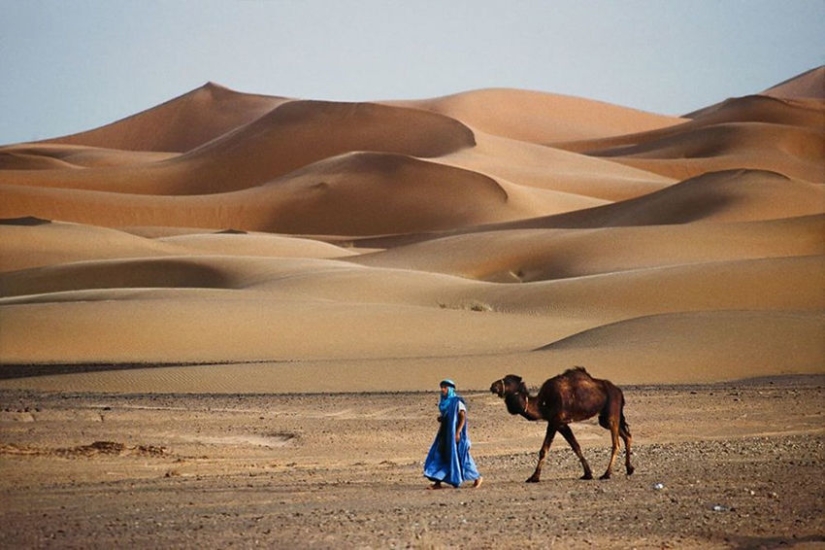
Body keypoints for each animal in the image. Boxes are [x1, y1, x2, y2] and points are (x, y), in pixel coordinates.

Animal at [490, 370, 636, 484]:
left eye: (507, 380)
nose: (492, 386)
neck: (542, 403)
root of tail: (619, 391)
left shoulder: (554, 421)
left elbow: (544, 450)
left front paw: (534, 477)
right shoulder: (562, 424)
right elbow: (576, 446)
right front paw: (587, 474)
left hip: (611, 414)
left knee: (616, 443)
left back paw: (607, 474)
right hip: (605, 418)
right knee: (627, 436)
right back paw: (629, 469)